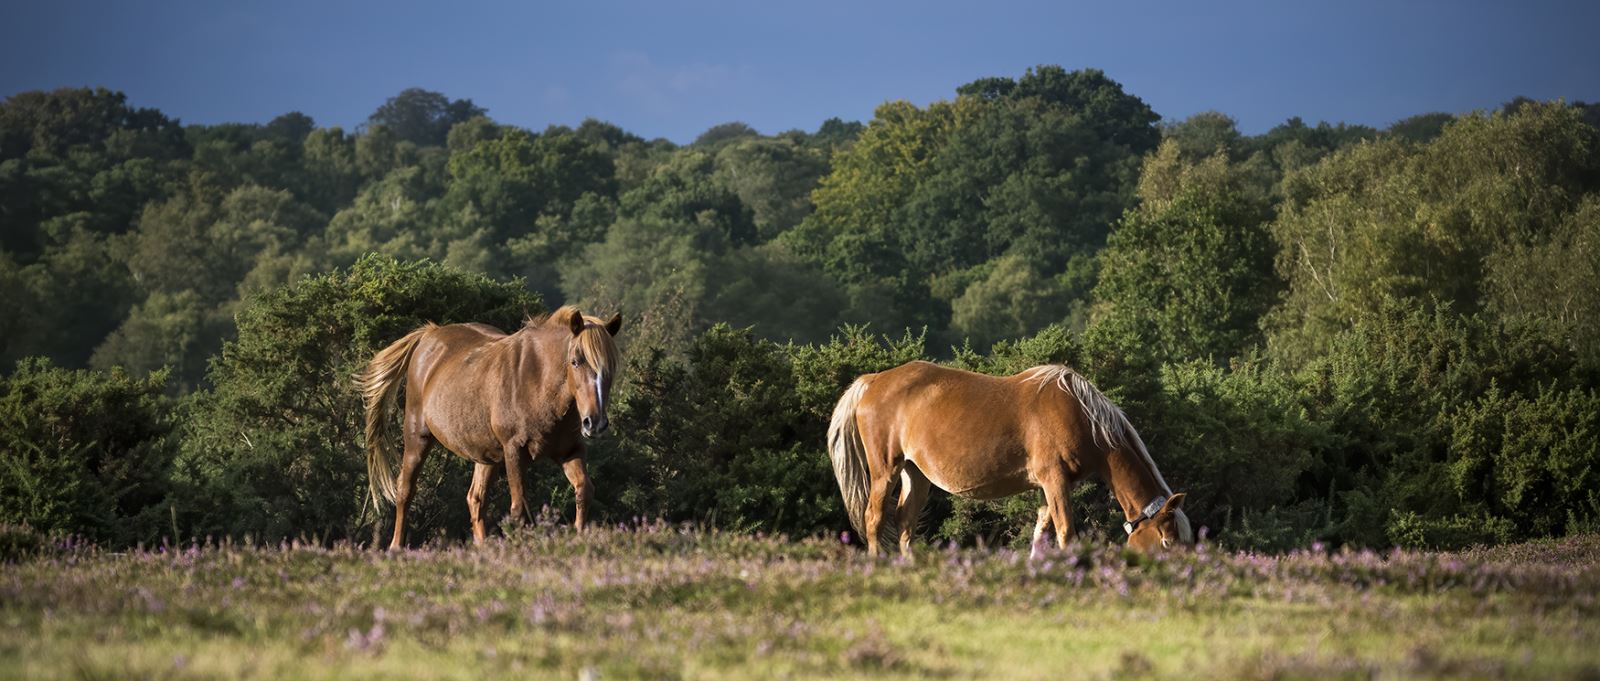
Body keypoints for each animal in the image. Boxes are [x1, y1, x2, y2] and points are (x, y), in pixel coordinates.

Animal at [360, 305, 620, 549]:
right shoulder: (515, 451)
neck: (537, 380)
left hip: (486, 456)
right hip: (417, 438)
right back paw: (396, 547)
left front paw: (579, 538)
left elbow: (584, 490)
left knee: (475, 499)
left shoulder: (569, 451)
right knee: (405, 490)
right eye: (575, 361)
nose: (595, 422)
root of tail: (429, 335)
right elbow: (518, 508)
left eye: (610, 367)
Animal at [825, 361, 1190, 559]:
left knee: (904, 523)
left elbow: (1041, 531)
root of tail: (873, 380)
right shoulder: (1054, 481)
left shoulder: (1048, 487)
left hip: (916, 474)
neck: (1084, 418)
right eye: (1166, 542)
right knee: (873, 518)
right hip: (885, 470)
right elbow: (1065, 532)